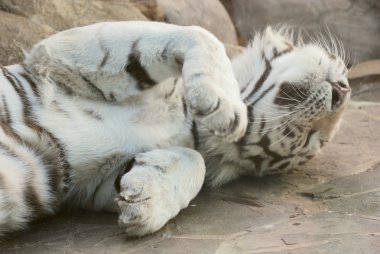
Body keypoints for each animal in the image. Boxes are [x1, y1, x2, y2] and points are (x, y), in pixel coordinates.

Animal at [0, 21, 350, 238]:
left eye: (310, 139)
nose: (343, 91)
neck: (188, 120)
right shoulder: (54, 53)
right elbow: (198, 34)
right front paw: (222, 104)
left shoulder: (86, 186)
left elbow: (195, 160)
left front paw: (145, 203)